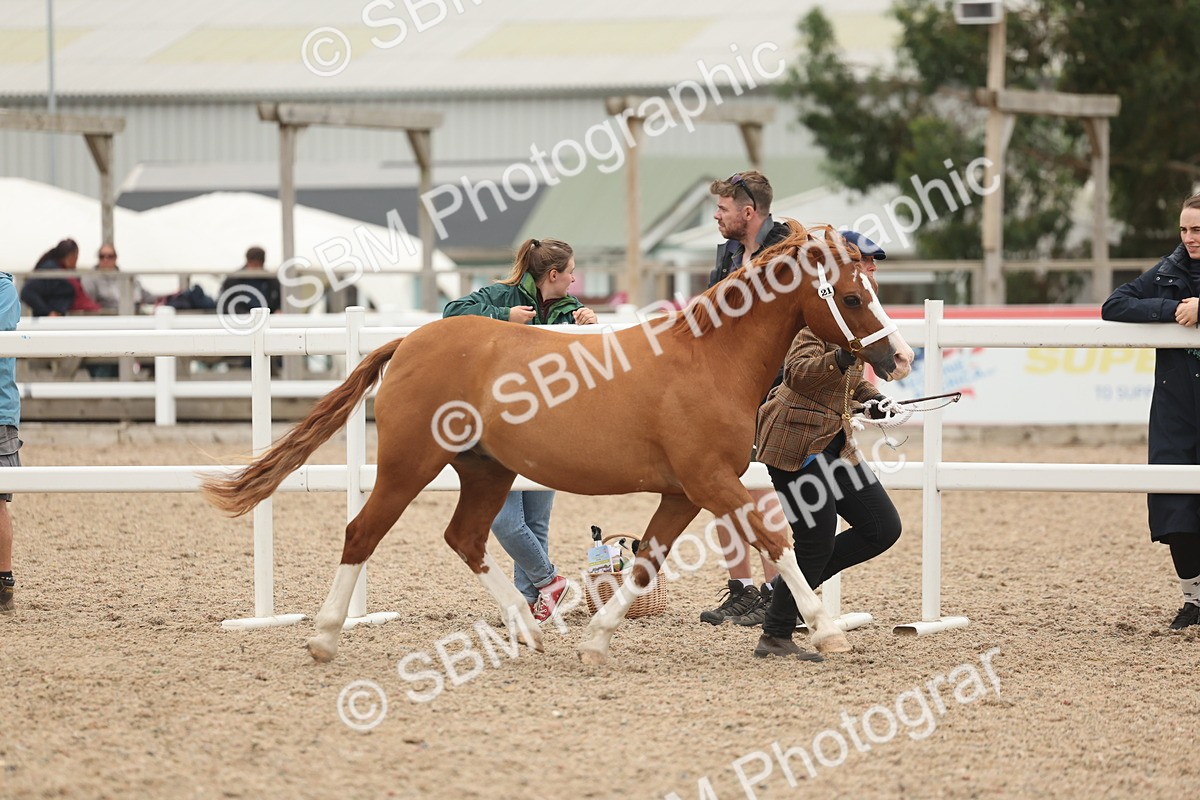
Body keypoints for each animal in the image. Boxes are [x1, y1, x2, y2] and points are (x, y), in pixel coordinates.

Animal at [202, 222, 914, 664]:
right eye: (852, 296)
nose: (901, 358)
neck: (707, 360)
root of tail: (410, 341)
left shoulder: (685, 491)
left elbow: (647, 561)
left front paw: (595, 642)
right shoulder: (712, 481)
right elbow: (776, 540)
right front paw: (827, 632)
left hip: (485, 472)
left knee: (464, 539)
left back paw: (527, 629)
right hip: (409, 465)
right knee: (362, 532)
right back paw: (324, 638)